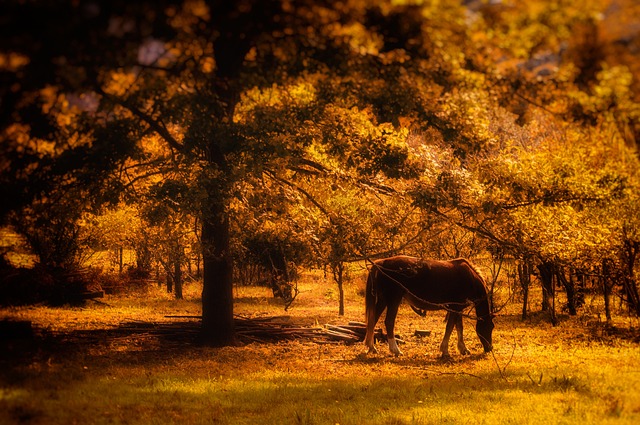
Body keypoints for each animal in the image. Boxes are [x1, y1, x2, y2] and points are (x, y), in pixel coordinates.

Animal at [364, 256, 496, 356]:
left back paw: (371, 347)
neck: (470, 277)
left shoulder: (458, 308)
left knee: (373, 320)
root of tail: (381, 263)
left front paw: (463, 349)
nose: (490, 348)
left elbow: (459, 327)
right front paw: (445, 350)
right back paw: (395, 350)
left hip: (383, 300)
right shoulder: (454, 307)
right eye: (490, 327)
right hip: (393, 300)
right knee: (389, 322)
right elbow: (450, 327)